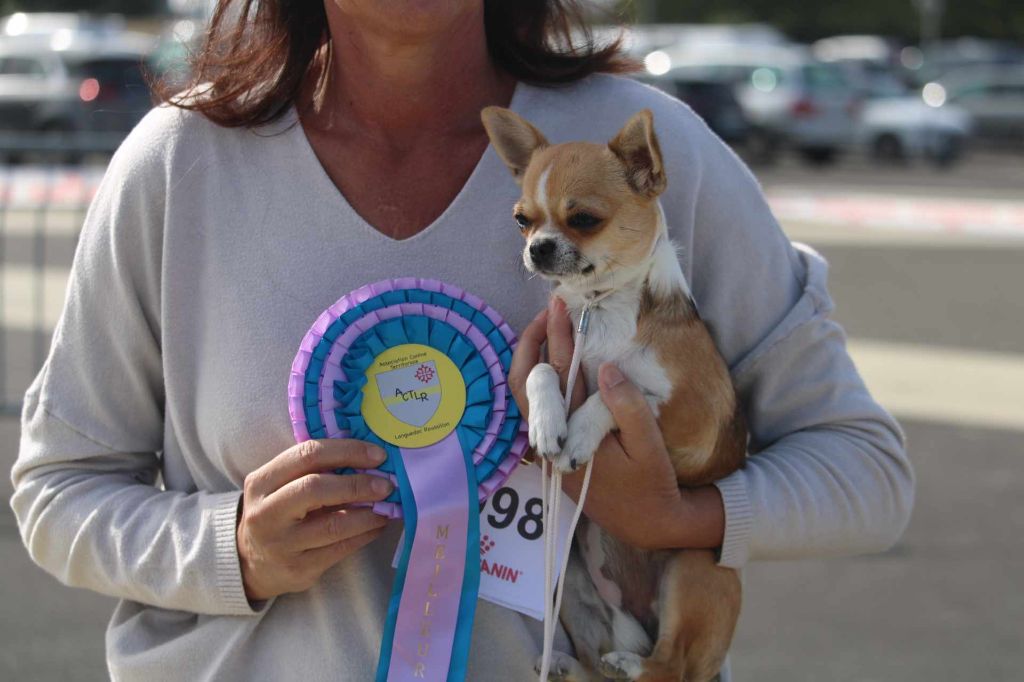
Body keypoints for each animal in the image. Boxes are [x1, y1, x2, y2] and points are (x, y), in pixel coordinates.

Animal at [483, 106, 749, 679]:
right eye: (522, 219)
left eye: (584, 218)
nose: (536, 247)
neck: (598, 309)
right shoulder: (549, 354)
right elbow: (542, 372)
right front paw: (547, 421)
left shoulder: (690, 420)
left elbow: (614, 391)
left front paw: (580, 432)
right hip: (570, 582)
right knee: (596, 655)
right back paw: (569, 665)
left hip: (695, 565)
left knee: (669, 667)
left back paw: (632, 663)